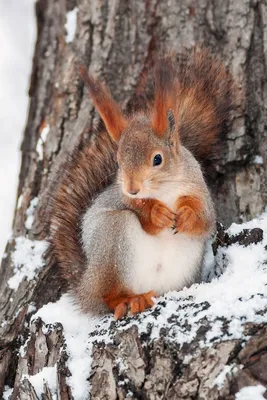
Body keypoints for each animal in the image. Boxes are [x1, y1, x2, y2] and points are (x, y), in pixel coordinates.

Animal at [48, 48, 237, 320]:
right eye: (118, 161)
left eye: (157, 159)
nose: (132, 188)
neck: (164, 190)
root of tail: (85, 286)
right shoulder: (121, 198)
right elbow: (139, 210)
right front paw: (156, 213)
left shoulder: (198, 189)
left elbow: (205, 219)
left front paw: (187, 215)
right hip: (112, 242)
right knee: (107, 297)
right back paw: (128, 300)